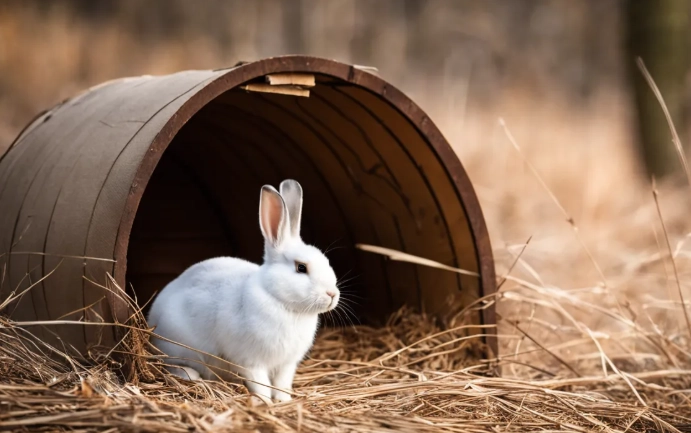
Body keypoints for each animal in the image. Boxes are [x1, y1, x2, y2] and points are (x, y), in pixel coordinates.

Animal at [146, 179, 340, 402]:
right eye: (301, 267)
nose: (332, 294)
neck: (278, 299)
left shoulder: (287, 364)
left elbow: (282, 384)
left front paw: (283, 401)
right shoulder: (251, 362)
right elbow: (261, 384)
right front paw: (265, 402)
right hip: (180, 348)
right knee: (170, 365)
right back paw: (191, 375)